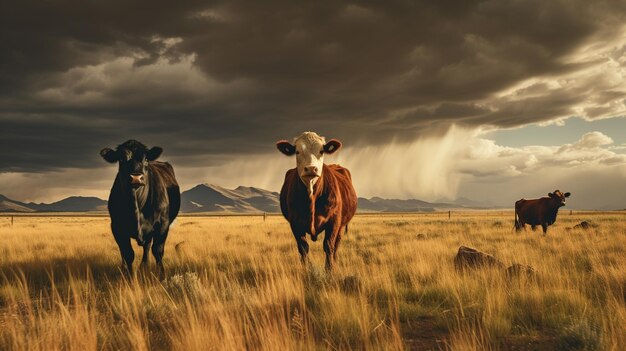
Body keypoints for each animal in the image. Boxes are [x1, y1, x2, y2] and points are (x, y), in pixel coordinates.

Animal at [98, 140, 179, 278]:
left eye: (145, 158)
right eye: (121, 158)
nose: (136, 178)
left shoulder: (163, 224)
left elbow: (158, 250)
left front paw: (161, 276)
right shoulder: (117, 227)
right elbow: (127, 253)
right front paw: (129, 277)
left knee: (148, 247)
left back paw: (144, 265)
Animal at [274, 132, 356, 272]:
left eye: (321, 151)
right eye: (297, 151)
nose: (311, 169)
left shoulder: (334, 221)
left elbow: (329, 246)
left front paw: (329, 271)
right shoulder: (295, 223)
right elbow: (303, 247)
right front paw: (306, 270)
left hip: (342, 225)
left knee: (337, 243)